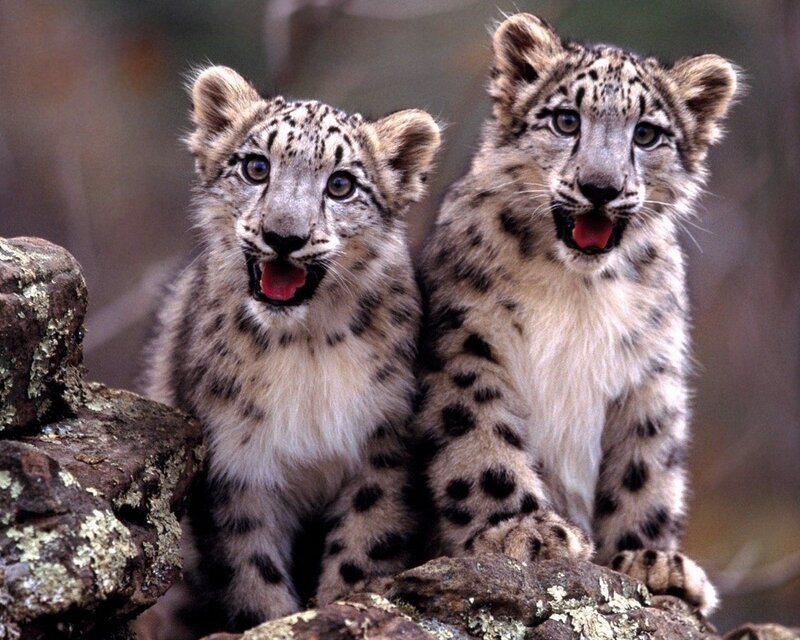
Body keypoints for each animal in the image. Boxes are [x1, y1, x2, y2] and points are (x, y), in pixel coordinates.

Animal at [140, 65, 440, 637]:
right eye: (257, 167)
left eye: (341, 184)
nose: (284, 236)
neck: (305, 348)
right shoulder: (236, 462)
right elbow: (251, 568)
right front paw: (275, 619)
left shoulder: (382, 444)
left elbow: (365, 543)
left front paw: (345, 604)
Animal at [414, 13, 739, 615]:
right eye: (566, 119)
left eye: (646, 133)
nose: (600, 187)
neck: (578, 291)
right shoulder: (466, 343)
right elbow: (480, 438)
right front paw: (522, 531)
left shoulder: (650, 372)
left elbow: (645, 467)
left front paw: (651, 561)